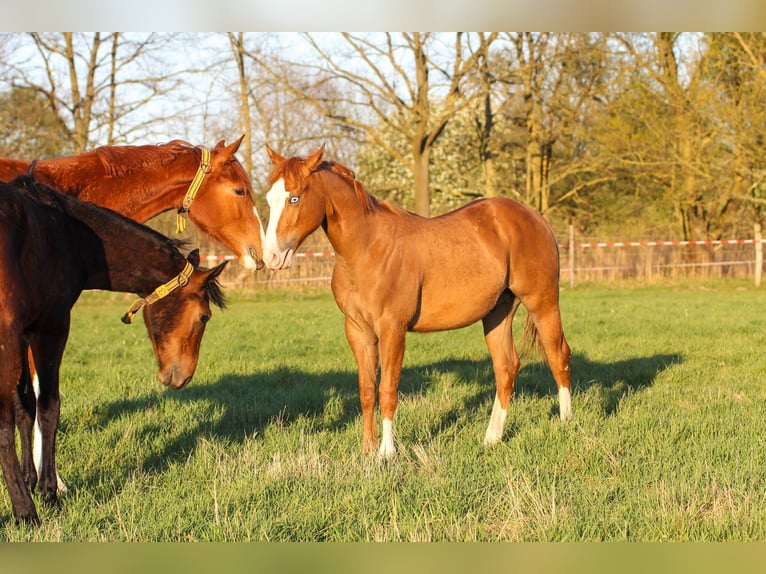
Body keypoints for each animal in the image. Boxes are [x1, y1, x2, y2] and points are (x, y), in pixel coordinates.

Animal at [261, 145, 572, 458]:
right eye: (268, 198)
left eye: (294, 197)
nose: (271, 257)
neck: (367, 248)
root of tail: (536, 219)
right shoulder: (358, 331)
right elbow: (366, 391)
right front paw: (367, 450)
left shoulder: (393, 330)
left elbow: (387, 391)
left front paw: (387, 452)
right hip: (498, 313)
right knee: (506, 367)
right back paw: (492, 437)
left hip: (543, 303)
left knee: (558, 355)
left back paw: (565, 423)